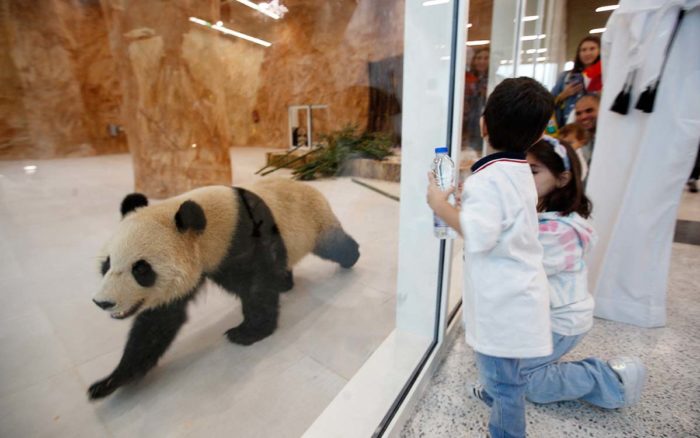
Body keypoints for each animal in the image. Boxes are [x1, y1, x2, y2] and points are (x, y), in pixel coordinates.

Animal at [88, 178, 359, 400]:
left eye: (141, 269)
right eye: (107, 263)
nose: (103, 303)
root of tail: (310, 186)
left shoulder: (241, 240)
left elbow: (257, 287)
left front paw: (246, 333)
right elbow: (159, 321)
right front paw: (110, 381)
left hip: (312, 220)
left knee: (334, 245)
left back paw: (352, 256)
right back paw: (285, 282)